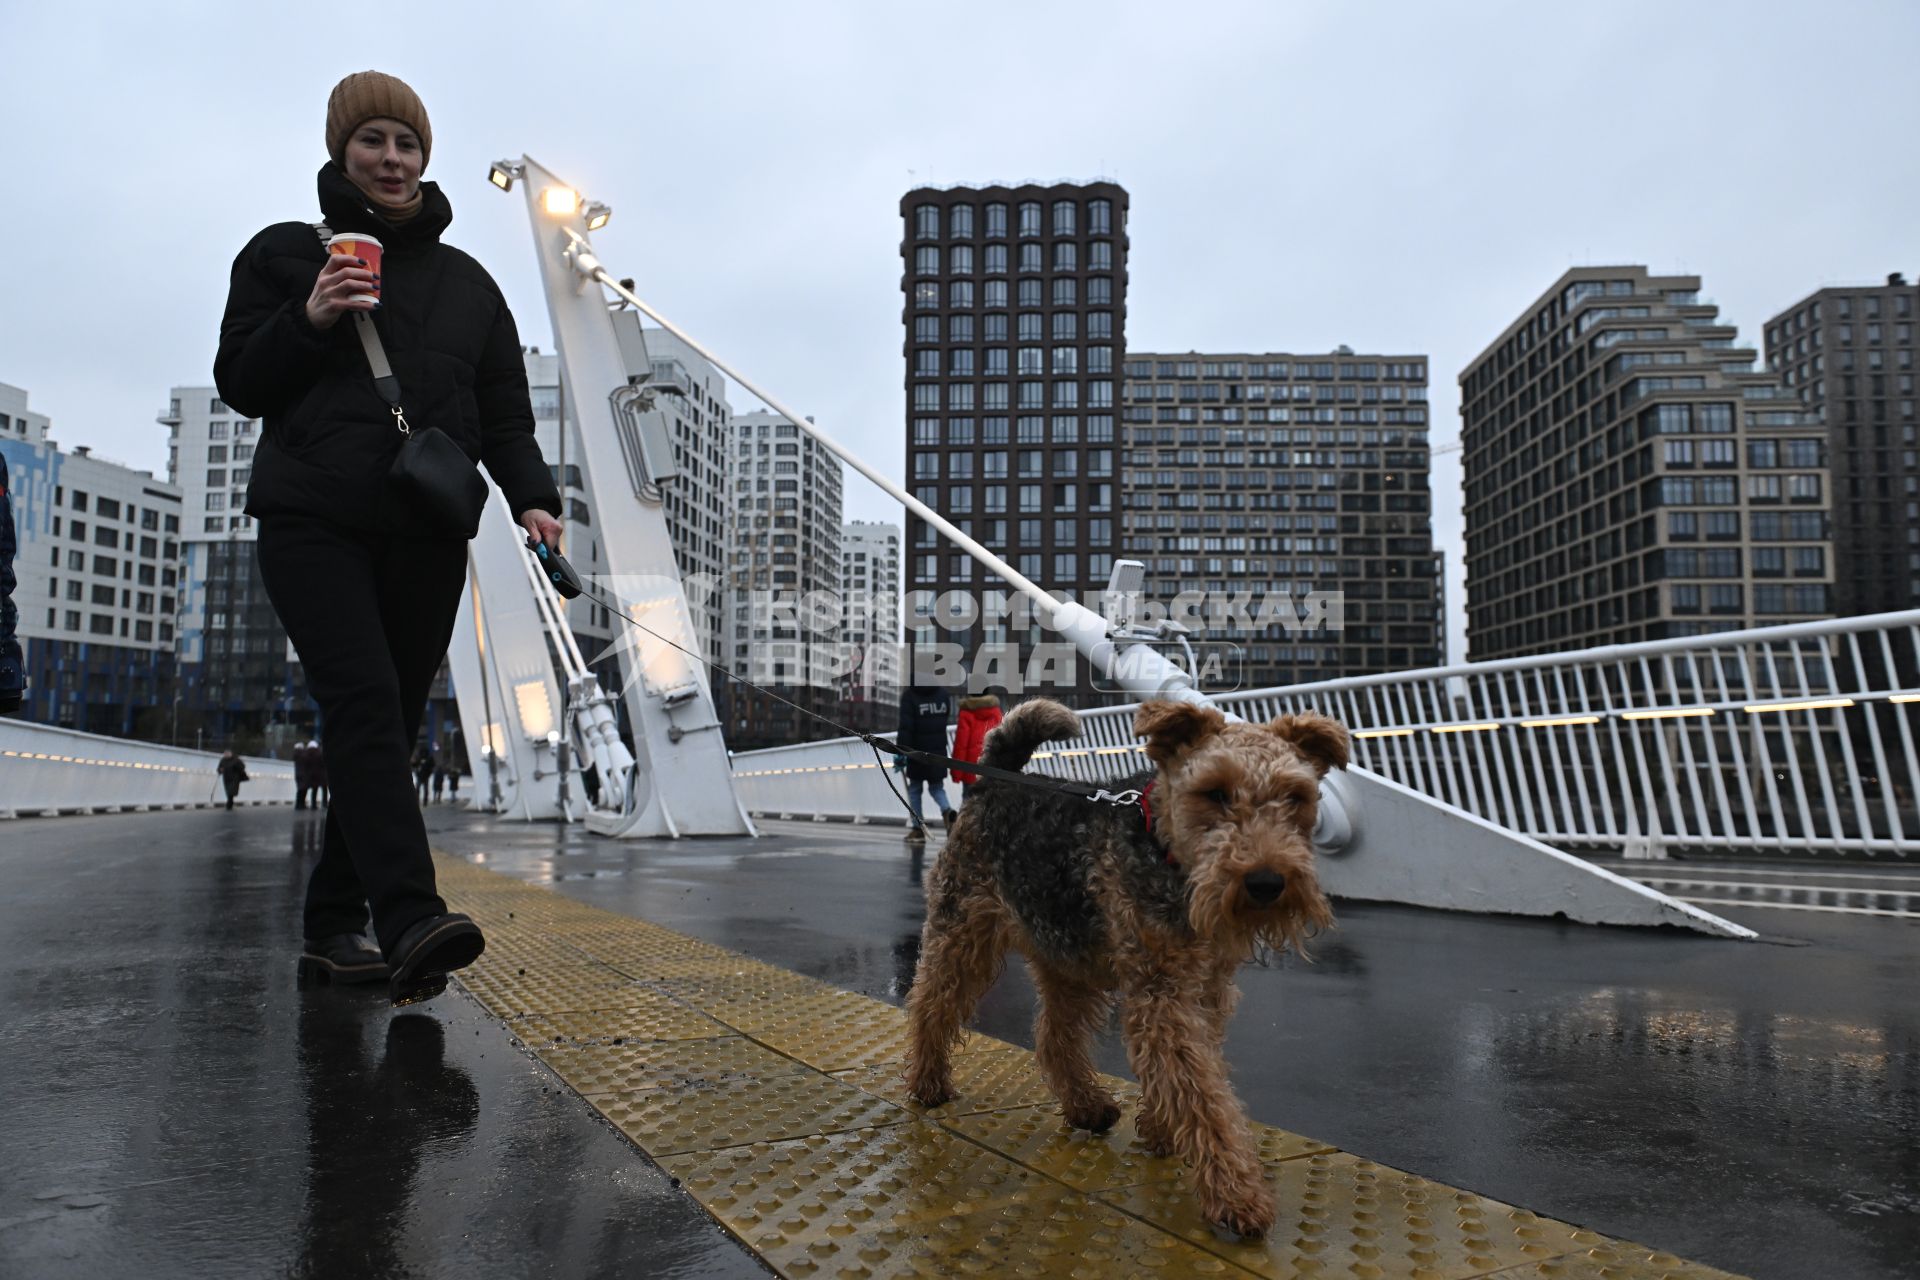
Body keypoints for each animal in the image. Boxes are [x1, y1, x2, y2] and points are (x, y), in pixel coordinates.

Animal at [902, 694, 1344, 1235]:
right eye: (1214, 792)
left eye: (1296, 796)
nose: (1266, 882)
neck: (1170, 853)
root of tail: (994, 781)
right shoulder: (1162, 992)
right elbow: (1203, 1092)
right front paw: (1238, 1197)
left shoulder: (1203, 990)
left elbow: (1187, 1075)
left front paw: (1160, 1129)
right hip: (963, 935)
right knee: (931, 1005)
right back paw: (928, 1084)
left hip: (1067, 958)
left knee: (1054, 1036)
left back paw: (1087, 1107)